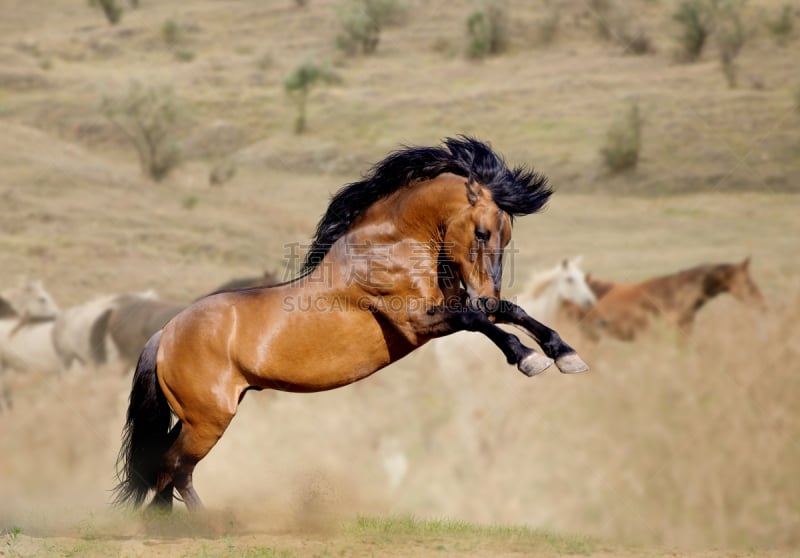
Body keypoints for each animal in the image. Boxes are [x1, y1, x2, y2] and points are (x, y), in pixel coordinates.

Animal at [112, 138, 588, 516]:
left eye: (507, 236)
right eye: (484, 233)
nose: (486, 291)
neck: (392, 244)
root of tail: (165, 334)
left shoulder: (450, 308)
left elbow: (510, 311)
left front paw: (565, 354)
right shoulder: (418, 320)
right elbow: (479, 320)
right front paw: (527, 358)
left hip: (199, 417)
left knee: (169, 468)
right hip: (208, 420)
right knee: (174, 468)